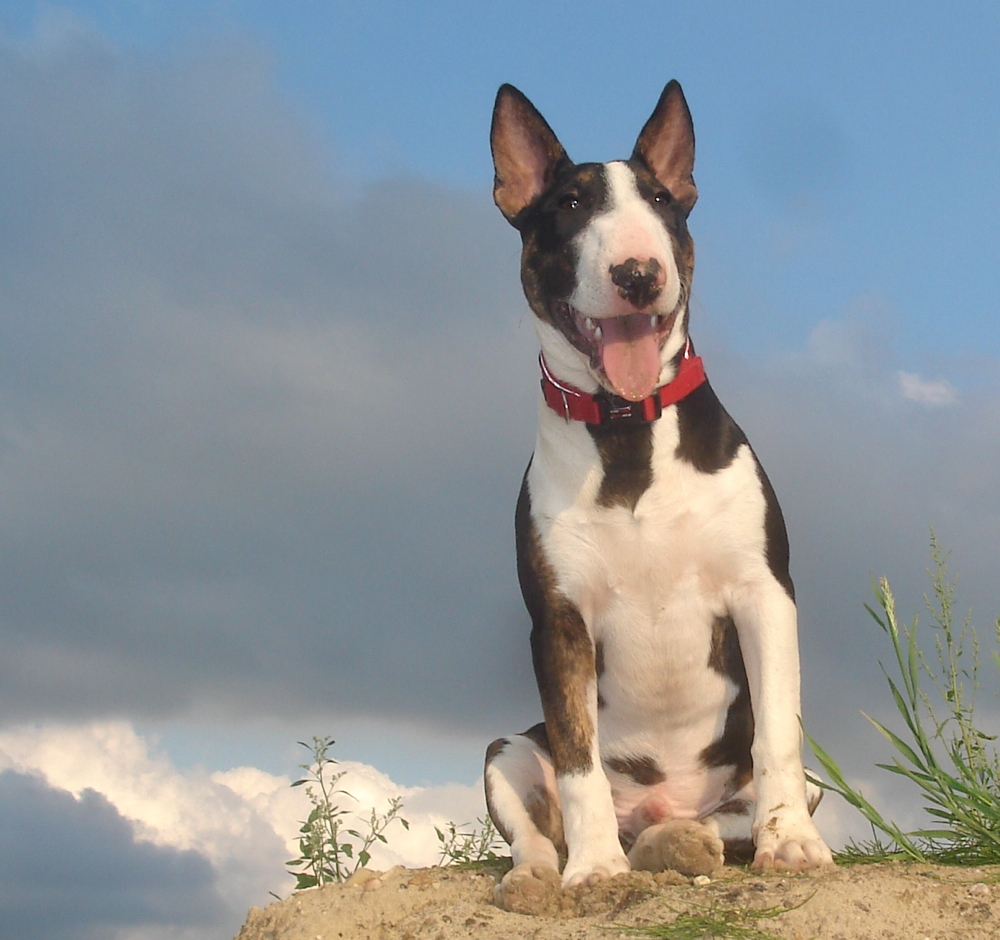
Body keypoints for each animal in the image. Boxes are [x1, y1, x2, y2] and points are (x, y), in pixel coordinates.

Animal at [484, 82, 836, 912]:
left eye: (662, 201)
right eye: (569, 204)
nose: (639, 274)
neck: (626, 435)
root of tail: (654, 805)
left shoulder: (763, 591)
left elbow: (777, 732)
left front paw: (792, 846)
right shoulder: (559, 619)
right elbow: (576, 761)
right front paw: (592, 869)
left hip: (797, 782)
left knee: (721, 818)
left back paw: (685, 839)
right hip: (506, 748)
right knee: (538, 827)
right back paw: (545, 876)